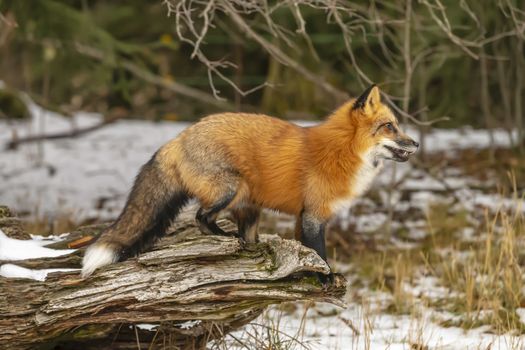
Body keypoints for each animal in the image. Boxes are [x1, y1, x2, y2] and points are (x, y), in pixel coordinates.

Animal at [82, 85, 418, 284]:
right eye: (390, 127)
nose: (415, 143)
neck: (343, 151)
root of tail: (179, 137)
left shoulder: (304, 216)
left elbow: (307, 248)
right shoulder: (314, 215)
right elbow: (320, 252)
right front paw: (326, 277)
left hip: (249, 207)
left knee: (232, 228)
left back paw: (246, 248)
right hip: (231, 189)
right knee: (201, 217)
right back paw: (226, 240)